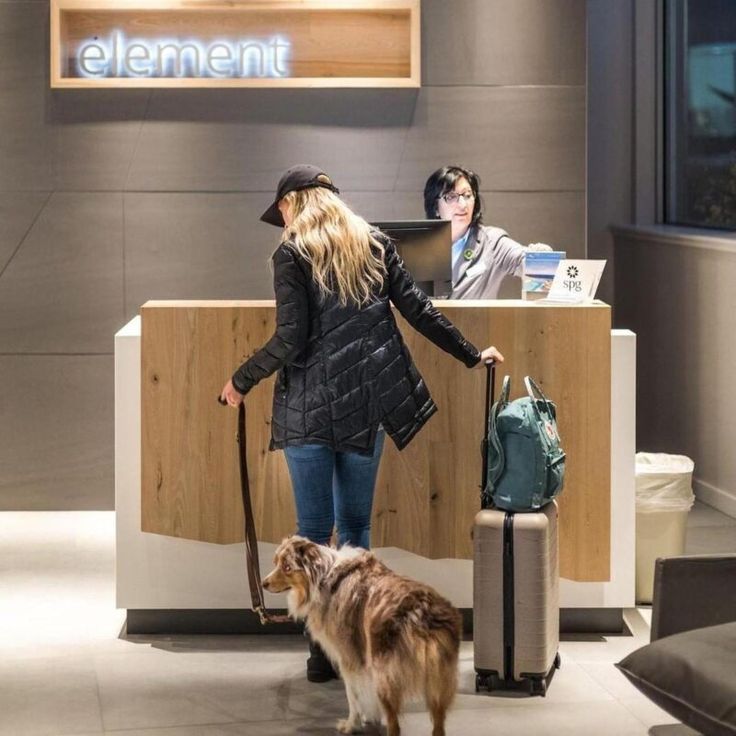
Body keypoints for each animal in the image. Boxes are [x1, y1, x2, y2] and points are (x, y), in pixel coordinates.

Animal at [264, 536, 460, 736]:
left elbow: (353, 697)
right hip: (438, 683)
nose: (263, 583)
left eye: (287, 567)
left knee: (394, 724)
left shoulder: (349, 659)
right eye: (276, 562)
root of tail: (421, 611)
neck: (323, 577)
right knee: (438, 725)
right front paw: (371, 717)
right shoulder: (366, 659)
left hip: (387, 676)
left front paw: (351, 724)